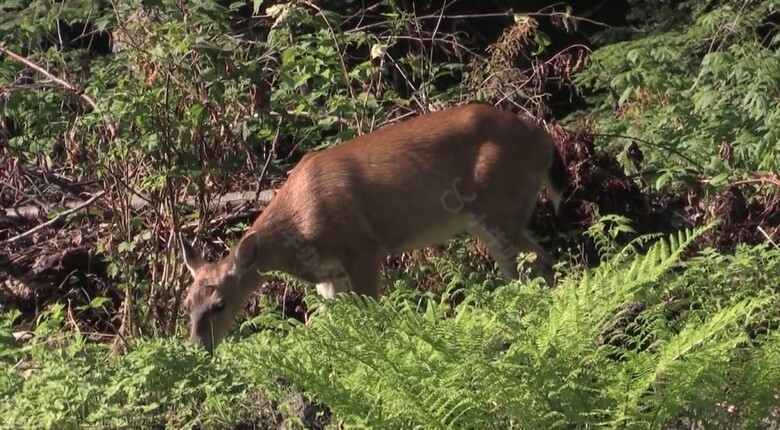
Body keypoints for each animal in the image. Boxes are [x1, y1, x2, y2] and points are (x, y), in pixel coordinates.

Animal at [178, 102, 568, 352]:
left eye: (219, 305)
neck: (299, 229)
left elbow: (372, 316)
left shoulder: (363, 250)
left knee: (537, 264)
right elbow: (335, 324)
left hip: (497, 208)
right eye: (186, 305)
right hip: (496, 218)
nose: (198, 348)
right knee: (530, 267)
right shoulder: (328, 275)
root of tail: (545, 141)